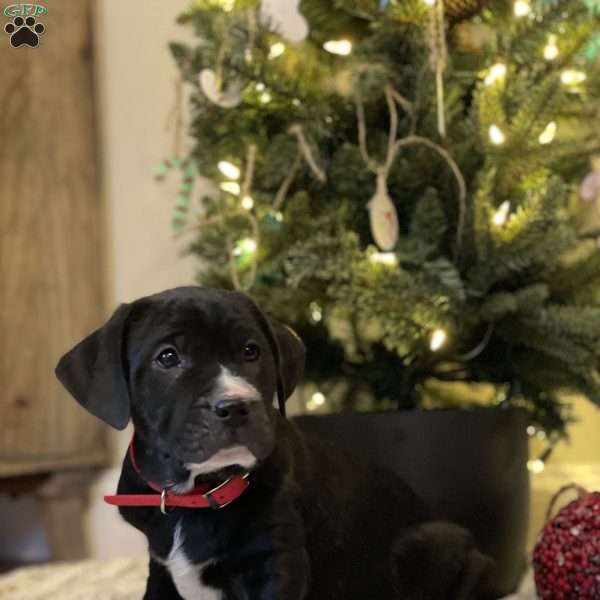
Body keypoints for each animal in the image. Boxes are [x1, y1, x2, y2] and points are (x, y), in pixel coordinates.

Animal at [55, 288, 492, 596]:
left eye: (252, 351)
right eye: (167, 357)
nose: (235, 406)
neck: (195, 495)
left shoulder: (277, 561)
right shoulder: (160, 569)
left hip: (428, 545)